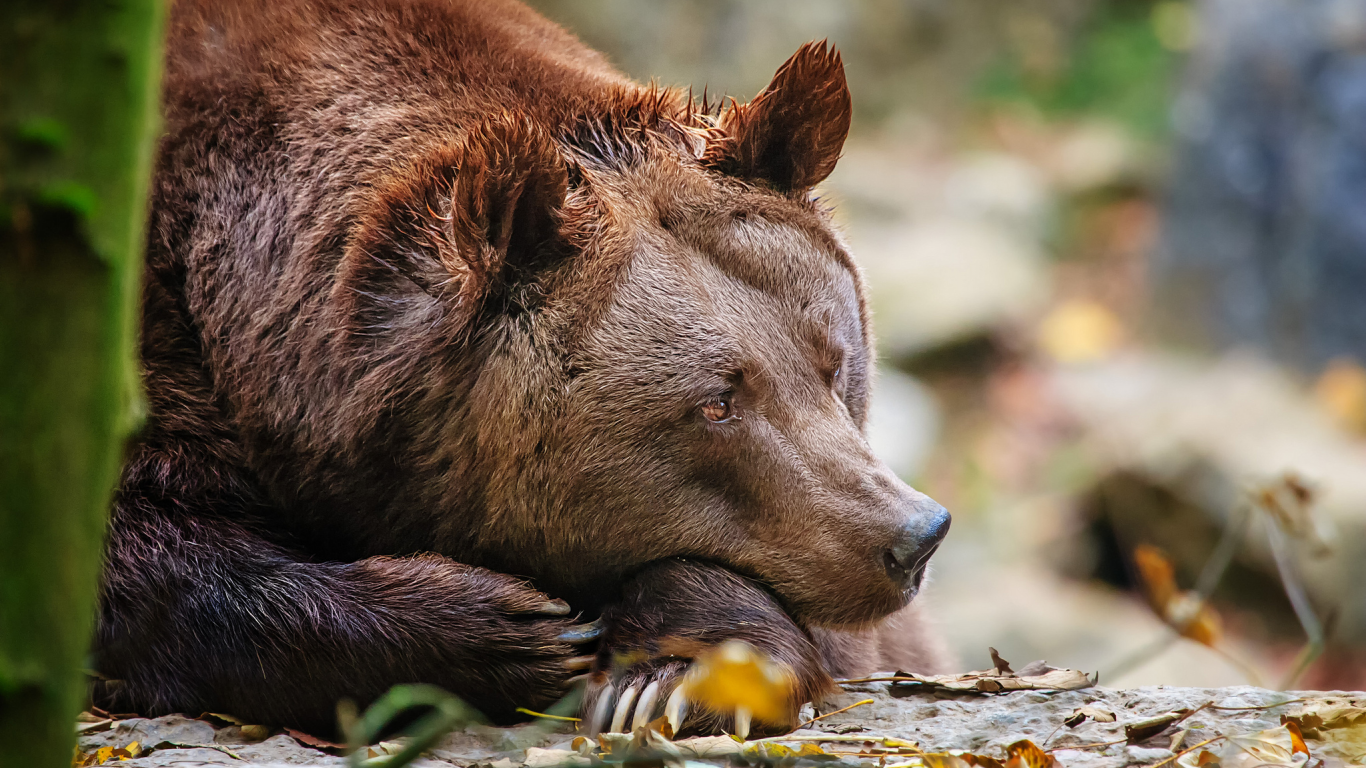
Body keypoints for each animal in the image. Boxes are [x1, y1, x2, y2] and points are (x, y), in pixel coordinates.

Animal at [93, 0, 950, 737]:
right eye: (715, 403)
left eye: (834, 360)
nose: (913, 535)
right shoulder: (150, 339)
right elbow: (147, 556)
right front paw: (512, 628)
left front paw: (668, 677)